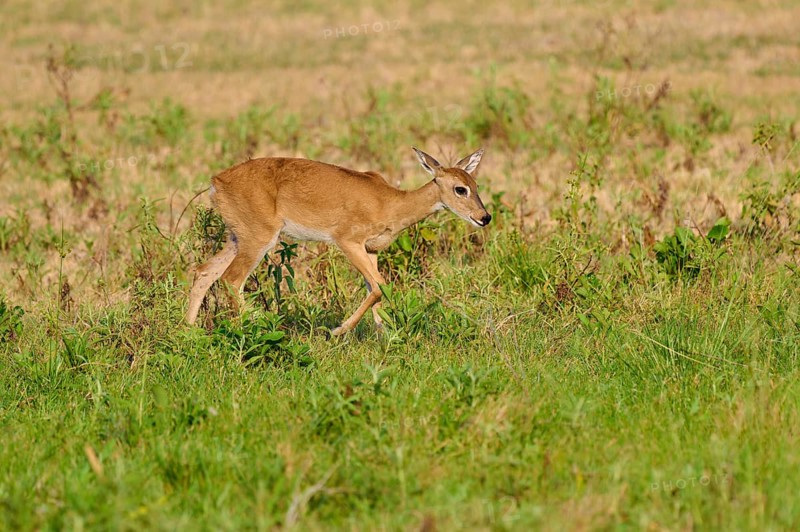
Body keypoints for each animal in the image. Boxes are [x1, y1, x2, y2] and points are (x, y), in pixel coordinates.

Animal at [186, 147, 492, 336]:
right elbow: (379, 287)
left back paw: (187, 330)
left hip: (237, 236)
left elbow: (378, 290)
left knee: (204, 272)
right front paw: (336, 331)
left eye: (476, 185)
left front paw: (384, 336)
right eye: (460, 189)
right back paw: (255, 328)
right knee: (231, 279)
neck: (390, 203)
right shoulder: (346, 240)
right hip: (259, 237)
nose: (484, 217)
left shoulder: (371, 250)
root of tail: (216, 182)